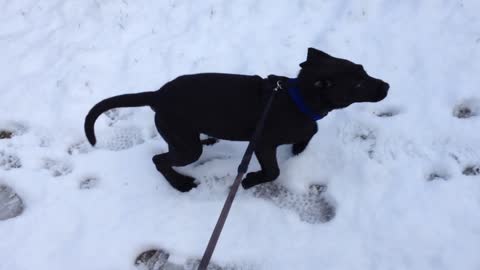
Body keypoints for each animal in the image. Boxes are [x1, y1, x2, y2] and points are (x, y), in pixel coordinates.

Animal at [84, 48, 388, 192]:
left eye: (364, 71)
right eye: (358, 84)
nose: (386, 86)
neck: (296, 98)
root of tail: (158, 95)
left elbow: (310, 131)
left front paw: (299, 146)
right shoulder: (264, 144)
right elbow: (273, 171)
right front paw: (251, 180)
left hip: (184, 138)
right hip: (186, 147)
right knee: (159, 160)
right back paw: (180, 184)